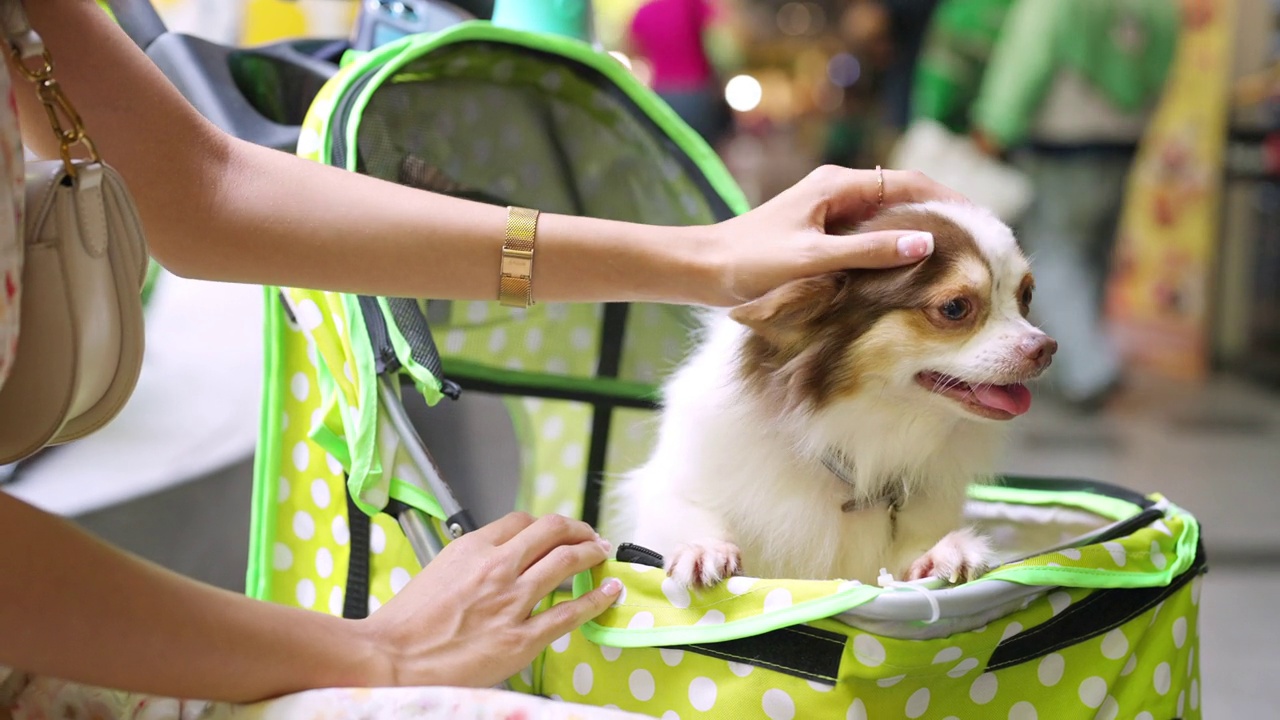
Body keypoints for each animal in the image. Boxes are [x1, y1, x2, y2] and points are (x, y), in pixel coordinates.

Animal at [609, 198, 1059, 586]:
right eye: (954, 308)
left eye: (1026, 297)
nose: (1045, 347)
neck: (865, 431)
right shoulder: (675, 486)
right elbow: (684, 513)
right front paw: (702, 548)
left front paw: (944, 553)